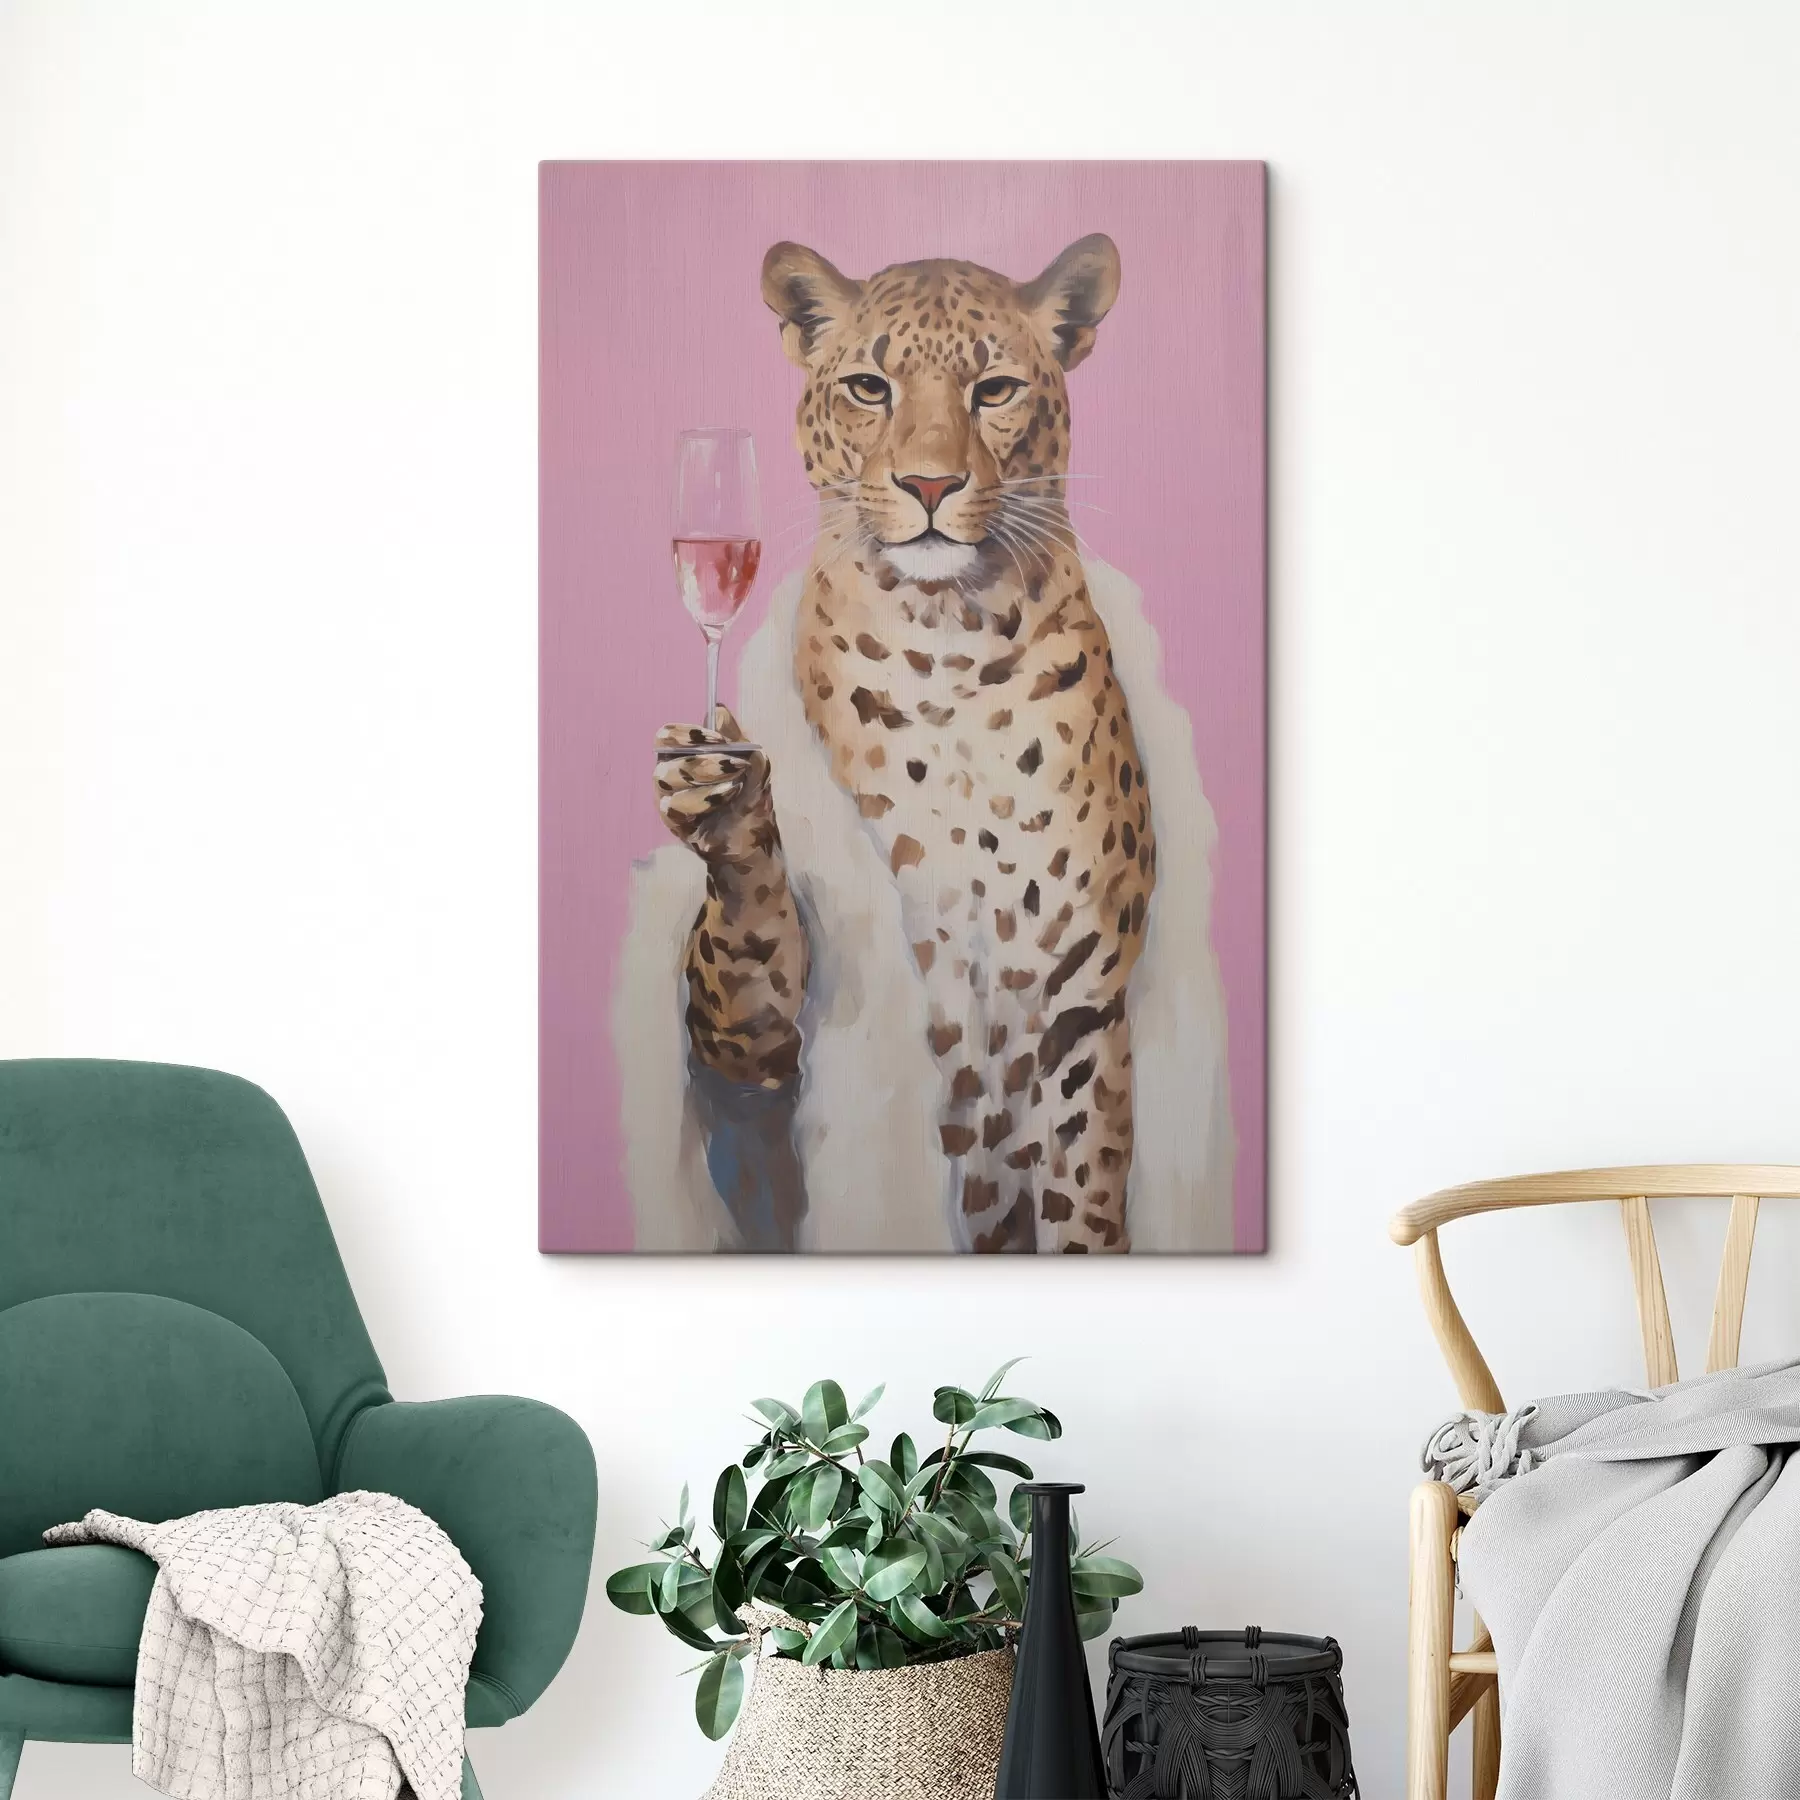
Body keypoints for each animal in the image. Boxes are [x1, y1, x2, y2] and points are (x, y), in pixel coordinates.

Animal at [654, 233, 1155, 1253]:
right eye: (869, 387)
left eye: (995, 389)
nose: (930, 484)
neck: (948, 643)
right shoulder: (758, 1033)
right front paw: (723, 803)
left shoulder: (1079, 1006)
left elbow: (1082, 1203)